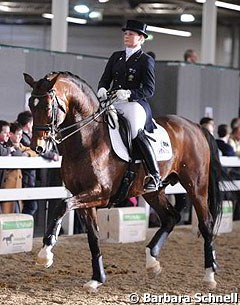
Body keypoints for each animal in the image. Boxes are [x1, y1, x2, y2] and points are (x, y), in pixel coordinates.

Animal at [23, 70, 223, 290]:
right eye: (31, 105)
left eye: (48, 106)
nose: (38, 147)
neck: (87, 139)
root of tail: (196, 126)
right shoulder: (83, 196)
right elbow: (92, 236)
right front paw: (97, 278)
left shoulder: (100, 193)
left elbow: (62, 205)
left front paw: (45, 253)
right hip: (152, 191)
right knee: (171, 217)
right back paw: (152, 262)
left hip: (196, 186)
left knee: (206, 223)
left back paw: (209, 275)